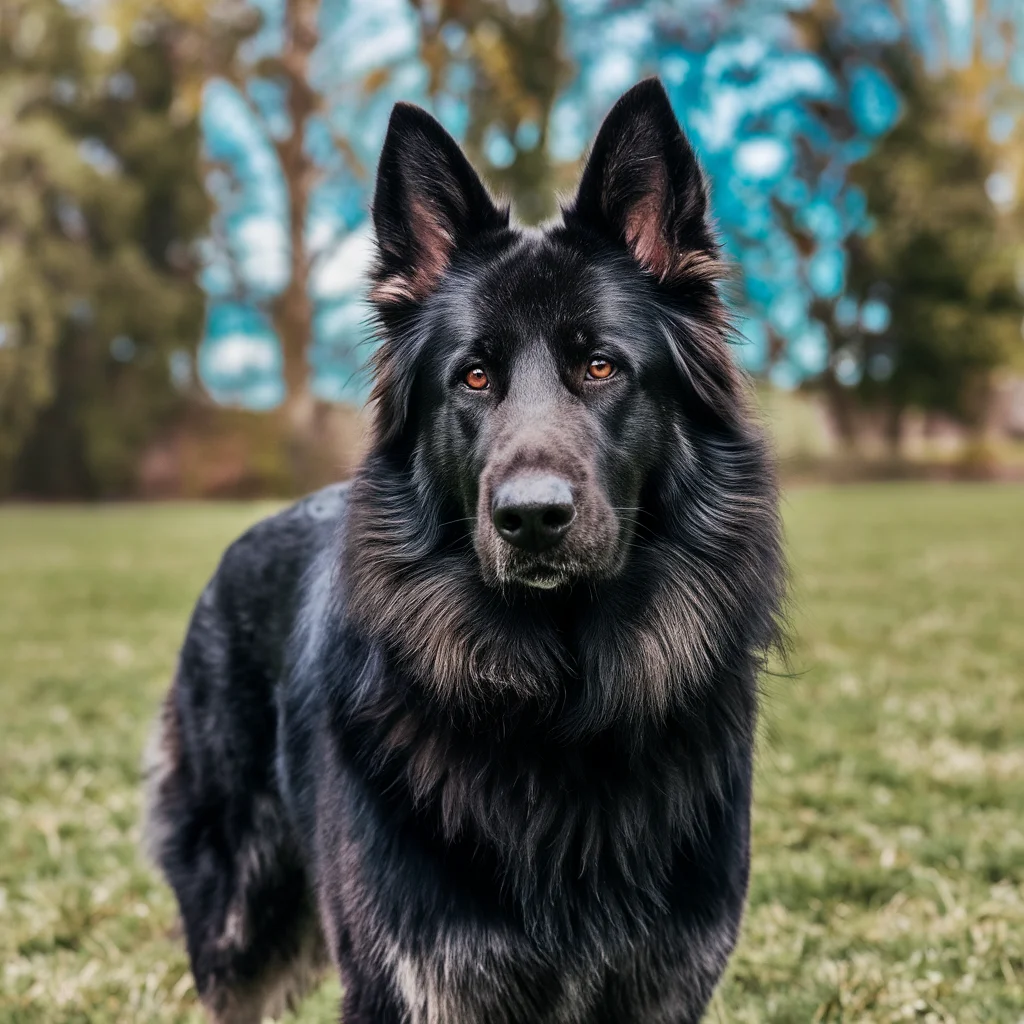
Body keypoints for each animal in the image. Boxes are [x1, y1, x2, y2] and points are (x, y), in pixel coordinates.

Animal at [144, 81, 782, 1024]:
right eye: (474, 377)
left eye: (600, 367)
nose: (532, 519)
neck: (559, 707)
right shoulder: (411, 981)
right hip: (237, 919)